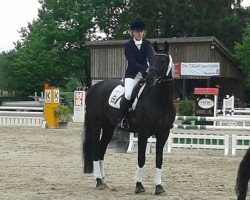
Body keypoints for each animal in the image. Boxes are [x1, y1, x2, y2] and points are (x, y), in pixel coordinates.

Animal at [82, 41, 176, 195]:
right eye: (152, 61)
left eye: (164, 61)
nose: (150, 78)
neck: (160, 100)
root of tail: (93, 88)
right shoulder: (143, 133)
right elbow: (141, 158)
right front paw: (139, 185)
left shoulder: (163, 133)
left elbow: (159, 159)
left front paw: (159, 187)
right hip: (96, 125)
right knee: (96, 149)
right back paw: (98, 181)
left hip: (109, 127)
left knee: (102, 149)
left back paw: (103, 180)